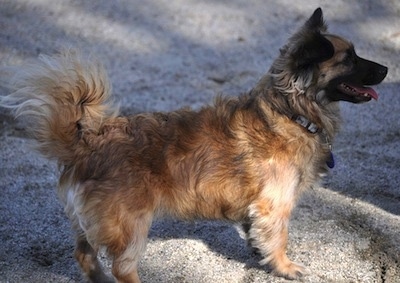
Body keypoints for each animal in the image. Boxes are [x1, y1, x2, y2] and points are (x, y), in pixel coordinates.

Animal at [0, 7, 388, 283]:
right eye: (350, 59)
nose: (386, 69)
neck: (290, 111)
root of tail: (87, 142)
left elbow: (257, 235)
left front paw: (258, 253)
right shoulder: (275, 205)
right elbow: (278, 239)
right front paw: (284, 267)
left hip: (92, 223)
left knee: (84, 254)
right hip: (131, 226)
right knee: (122, 268)